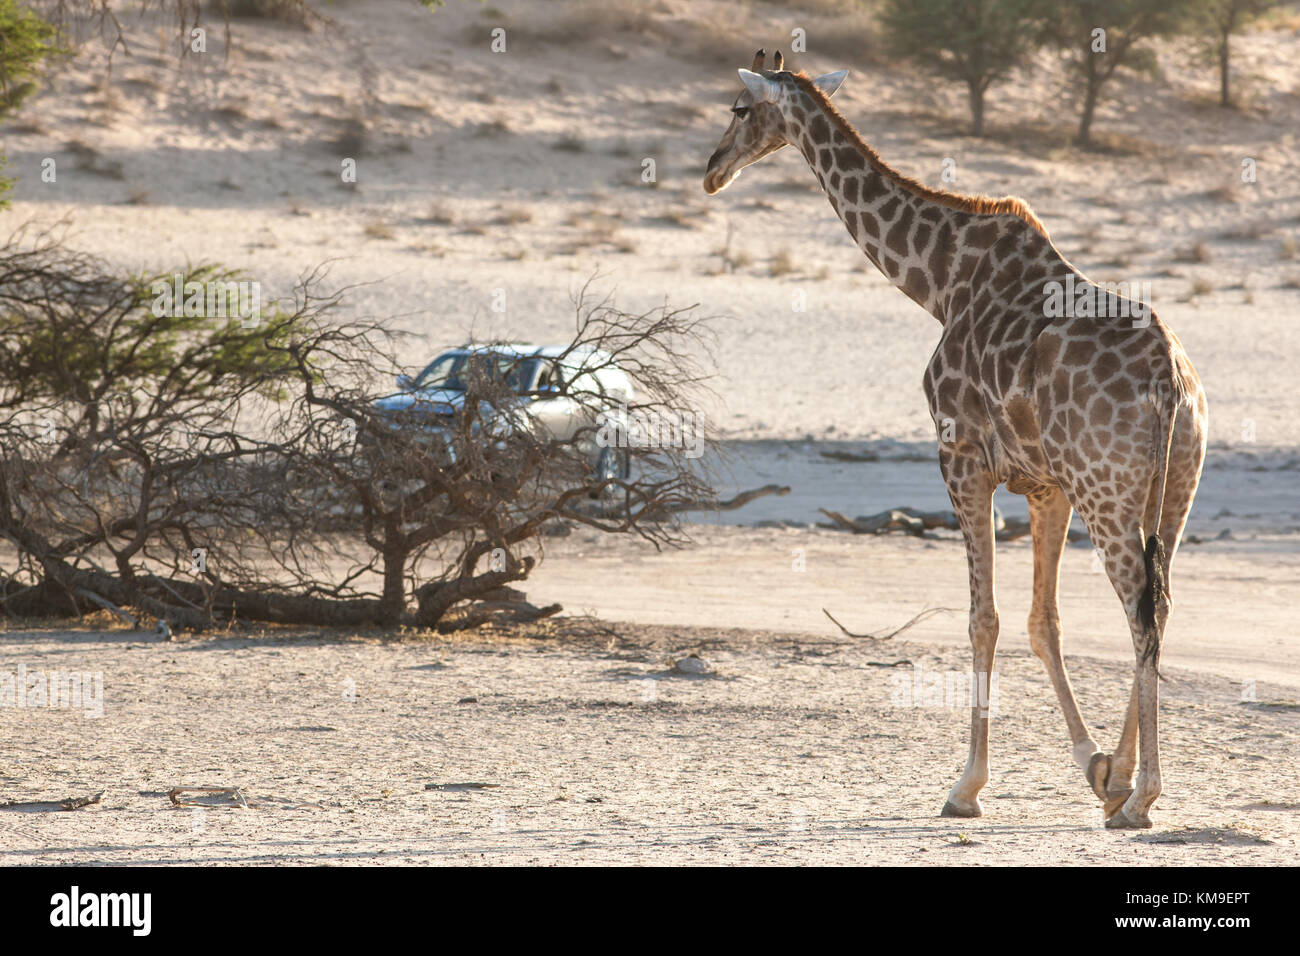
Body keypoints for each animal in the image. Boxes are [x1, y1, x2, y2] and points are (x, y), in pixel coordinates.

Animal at [703, 50, 1208, 828]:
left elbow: (983, 619)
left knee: (1140, 607)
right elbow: (1041, 621)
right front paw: (1098, 769)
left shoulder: (961, 457)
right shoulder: (1047, 484)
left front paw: (967, 786)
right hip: (1172, 487)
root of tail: (1172, 386)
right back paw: (1129, 786)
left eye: (737, 108)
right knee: (1161, 600)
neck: (937, 280)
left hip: (1110, 493)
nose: (711, 169)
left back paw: (1145, 797)